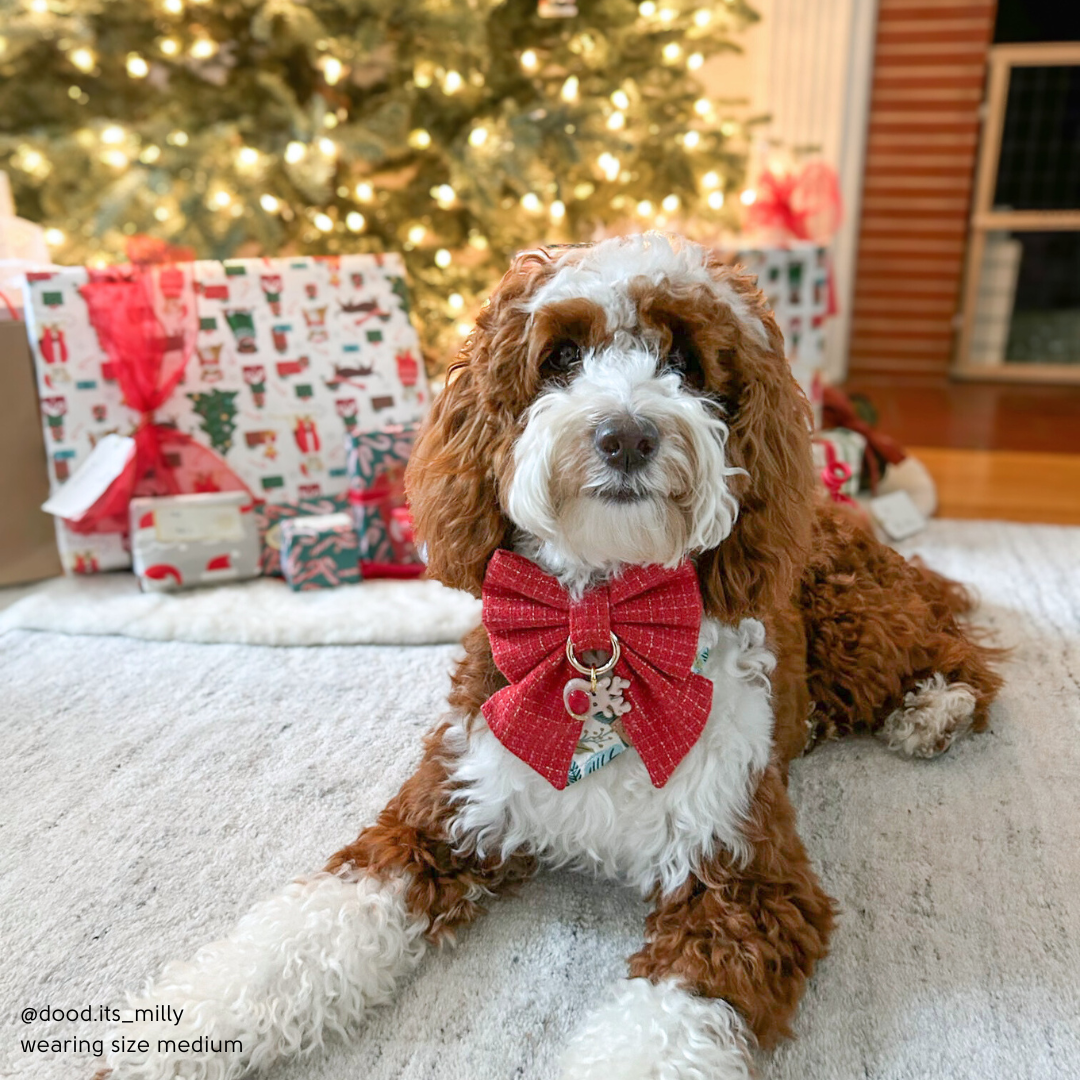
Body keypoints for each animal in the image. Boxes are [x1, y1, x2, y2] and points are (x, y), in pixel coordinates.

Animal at [103, 236, 1002, 1080]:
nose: (627, 434)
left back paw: (935, 709)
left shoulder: (747, 885)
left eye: (685, 362)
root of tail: (843, 512)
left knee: (957, 645)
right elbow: (300, 933)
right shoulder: (436, 819)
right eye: (562, 357)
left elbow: (661, 1034)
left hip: (853, 623)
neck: (601, 621)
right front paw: (178, 1032)